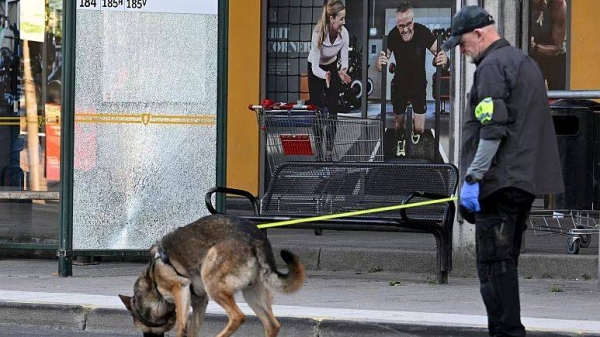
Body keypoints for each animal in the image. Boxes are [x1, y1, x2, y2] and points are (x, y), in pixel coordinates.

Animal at [118, 214, 304, 334]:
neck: (153, 282)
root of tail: (257, 238)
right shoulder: (200, 303)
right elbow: (192, 331)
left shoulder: (180, 290)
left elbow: (182, 327)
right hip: (251, 294)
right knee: (272, 325)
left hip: (212, 280)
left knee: (238, 317)